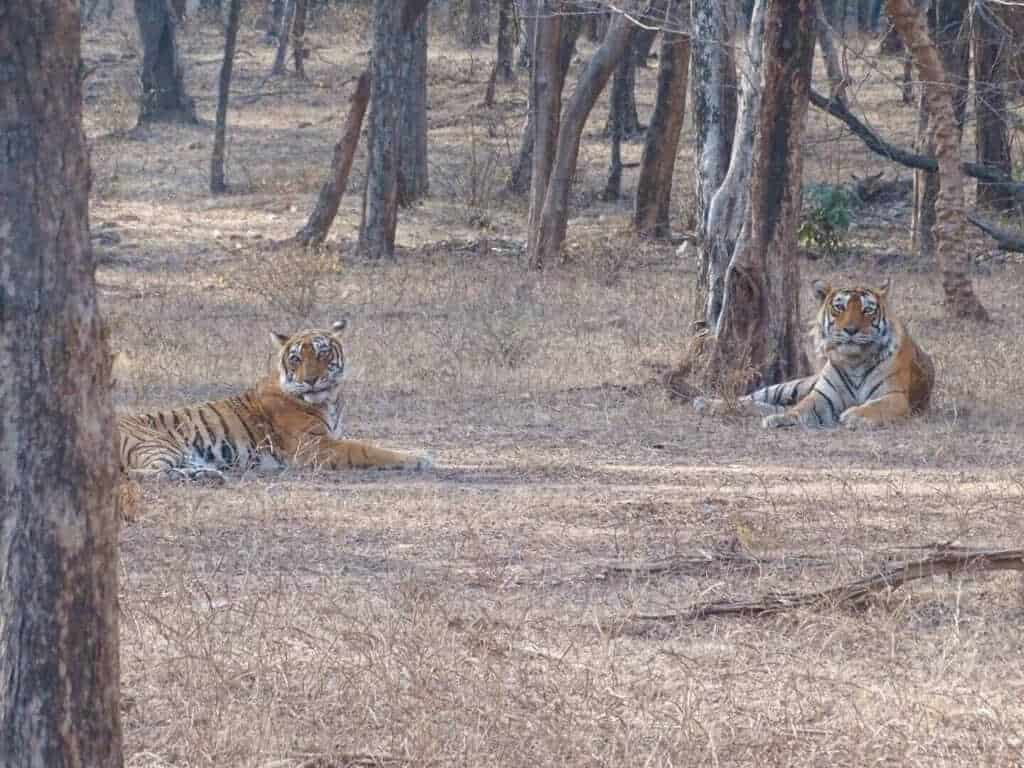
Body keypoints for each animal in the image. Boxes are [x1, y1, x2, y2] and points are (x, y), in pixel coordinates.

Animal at [118, 320, 432, 480]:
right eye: (295, 358)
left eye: (322, 353)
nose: (310, 380)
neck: (329, 400)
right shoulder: (315, 447)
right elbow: (369, 450)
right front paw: (420, 457)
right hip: (157, 444)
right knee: (145, 473)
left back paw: (209, 472)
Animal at [693, 279, 935, 429]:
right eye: (839, 308)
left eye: (867, 310)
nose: (851, 330)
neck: (854, 361)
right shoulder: (822, 395)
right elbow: (801, 408)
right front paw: (783, 419)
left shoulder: (894, 396)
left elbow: (875, 407)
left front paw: (854, 415)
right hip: (793, 385)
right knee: (751, 398)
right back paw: (707, 403)